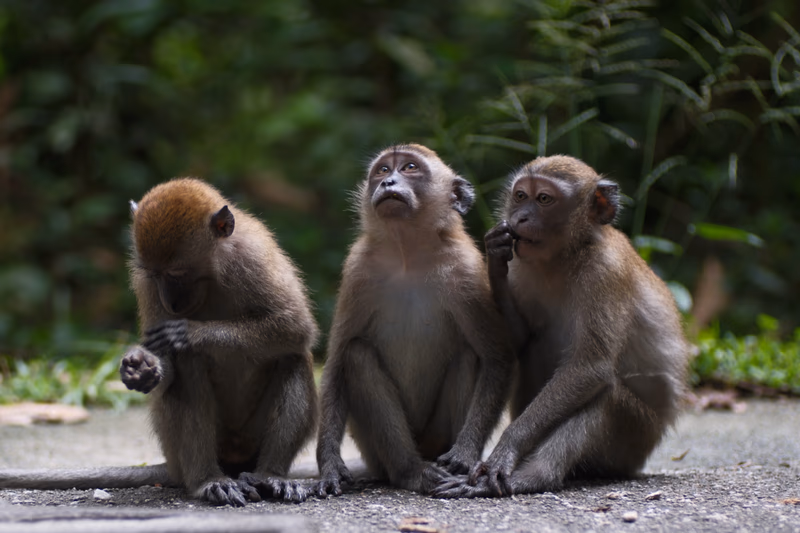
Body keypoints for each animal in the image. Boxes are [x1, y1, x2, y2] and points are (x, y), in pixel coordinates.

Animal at [0, 178, 319, 506]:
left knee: (293, 356)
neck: (214, 271)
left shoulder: (254, 256)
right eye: (155, 274)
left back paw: (271, 476)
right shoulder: (145, 284)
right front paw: (142, 369)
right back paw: (207, 481)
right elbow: (170, 362)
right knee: (190, 365)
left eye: (177, 273)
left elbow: (296, 327)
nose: (170, 302)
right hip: (178, 450)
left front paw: (190, 333)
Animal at [314, 144, 514, 497]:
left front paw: (465, 457)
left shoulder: (464, 269)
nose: (388, 182)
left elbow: (496, 357)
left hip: (436, 437)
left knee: (468, 356)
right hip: (373, 450)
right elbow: (337, 363)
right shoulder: (358, 271)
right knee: (357, 356)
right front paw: (330, 467)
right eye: (382, 170)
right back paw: (410, 472)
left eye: (409, 167)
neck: (408, 254)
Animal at [432, 155, 690, 498]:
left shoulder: (605, 272)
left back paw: (534, 476)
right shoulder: (521, 263)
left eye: (544, 199)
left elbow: (590, 368)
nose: (520, 217)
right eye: (520, 196)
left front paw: (504, 451)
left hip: (635, 440)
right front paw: (494, 257)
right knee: (535, 348)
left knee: (605, 397)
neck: (567, 254)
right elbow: (519, 341)